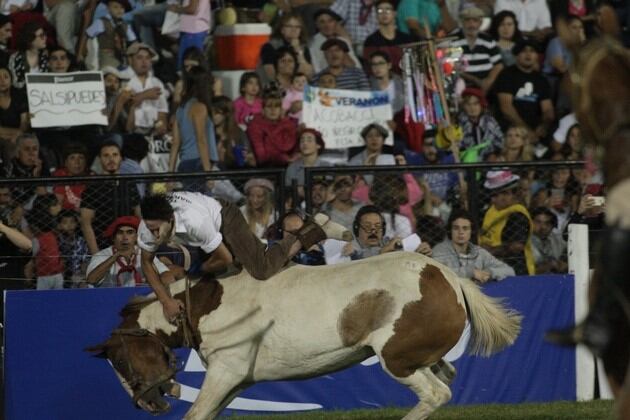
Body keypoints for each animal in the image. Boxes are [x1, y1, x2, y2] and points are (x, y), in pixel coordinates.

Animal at [87, 251, 524, 418]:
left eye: (121, 359)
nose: (148, 404)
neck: (205, 305)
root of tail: (449, 277)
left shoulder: (226, 371)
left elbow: (196, 414)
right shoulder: (236, 382)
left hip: (397, 360)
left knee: (436, 394)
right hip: (423, 356)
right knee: (446, 379)